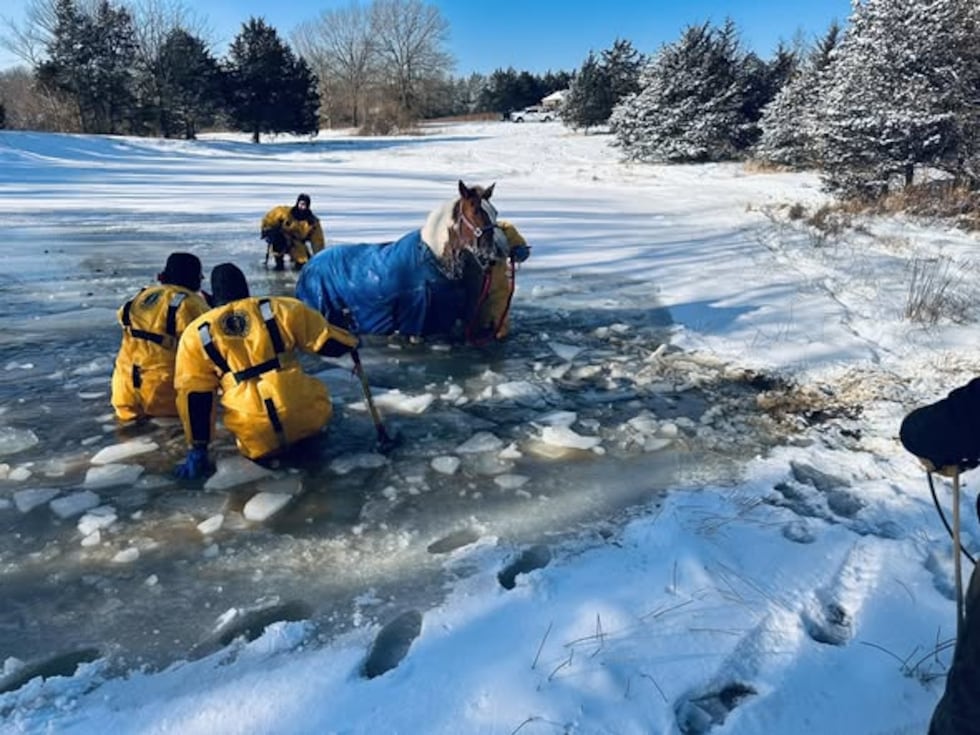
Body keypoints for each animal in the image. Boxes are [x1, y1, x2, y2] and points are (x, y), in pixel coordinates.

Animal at [295, 181, 507, 343]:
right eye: (474, 211)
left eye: (495, 212)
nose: (494, 253)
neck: (433, 259)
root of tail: (311, 263)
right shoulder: (416, 321)